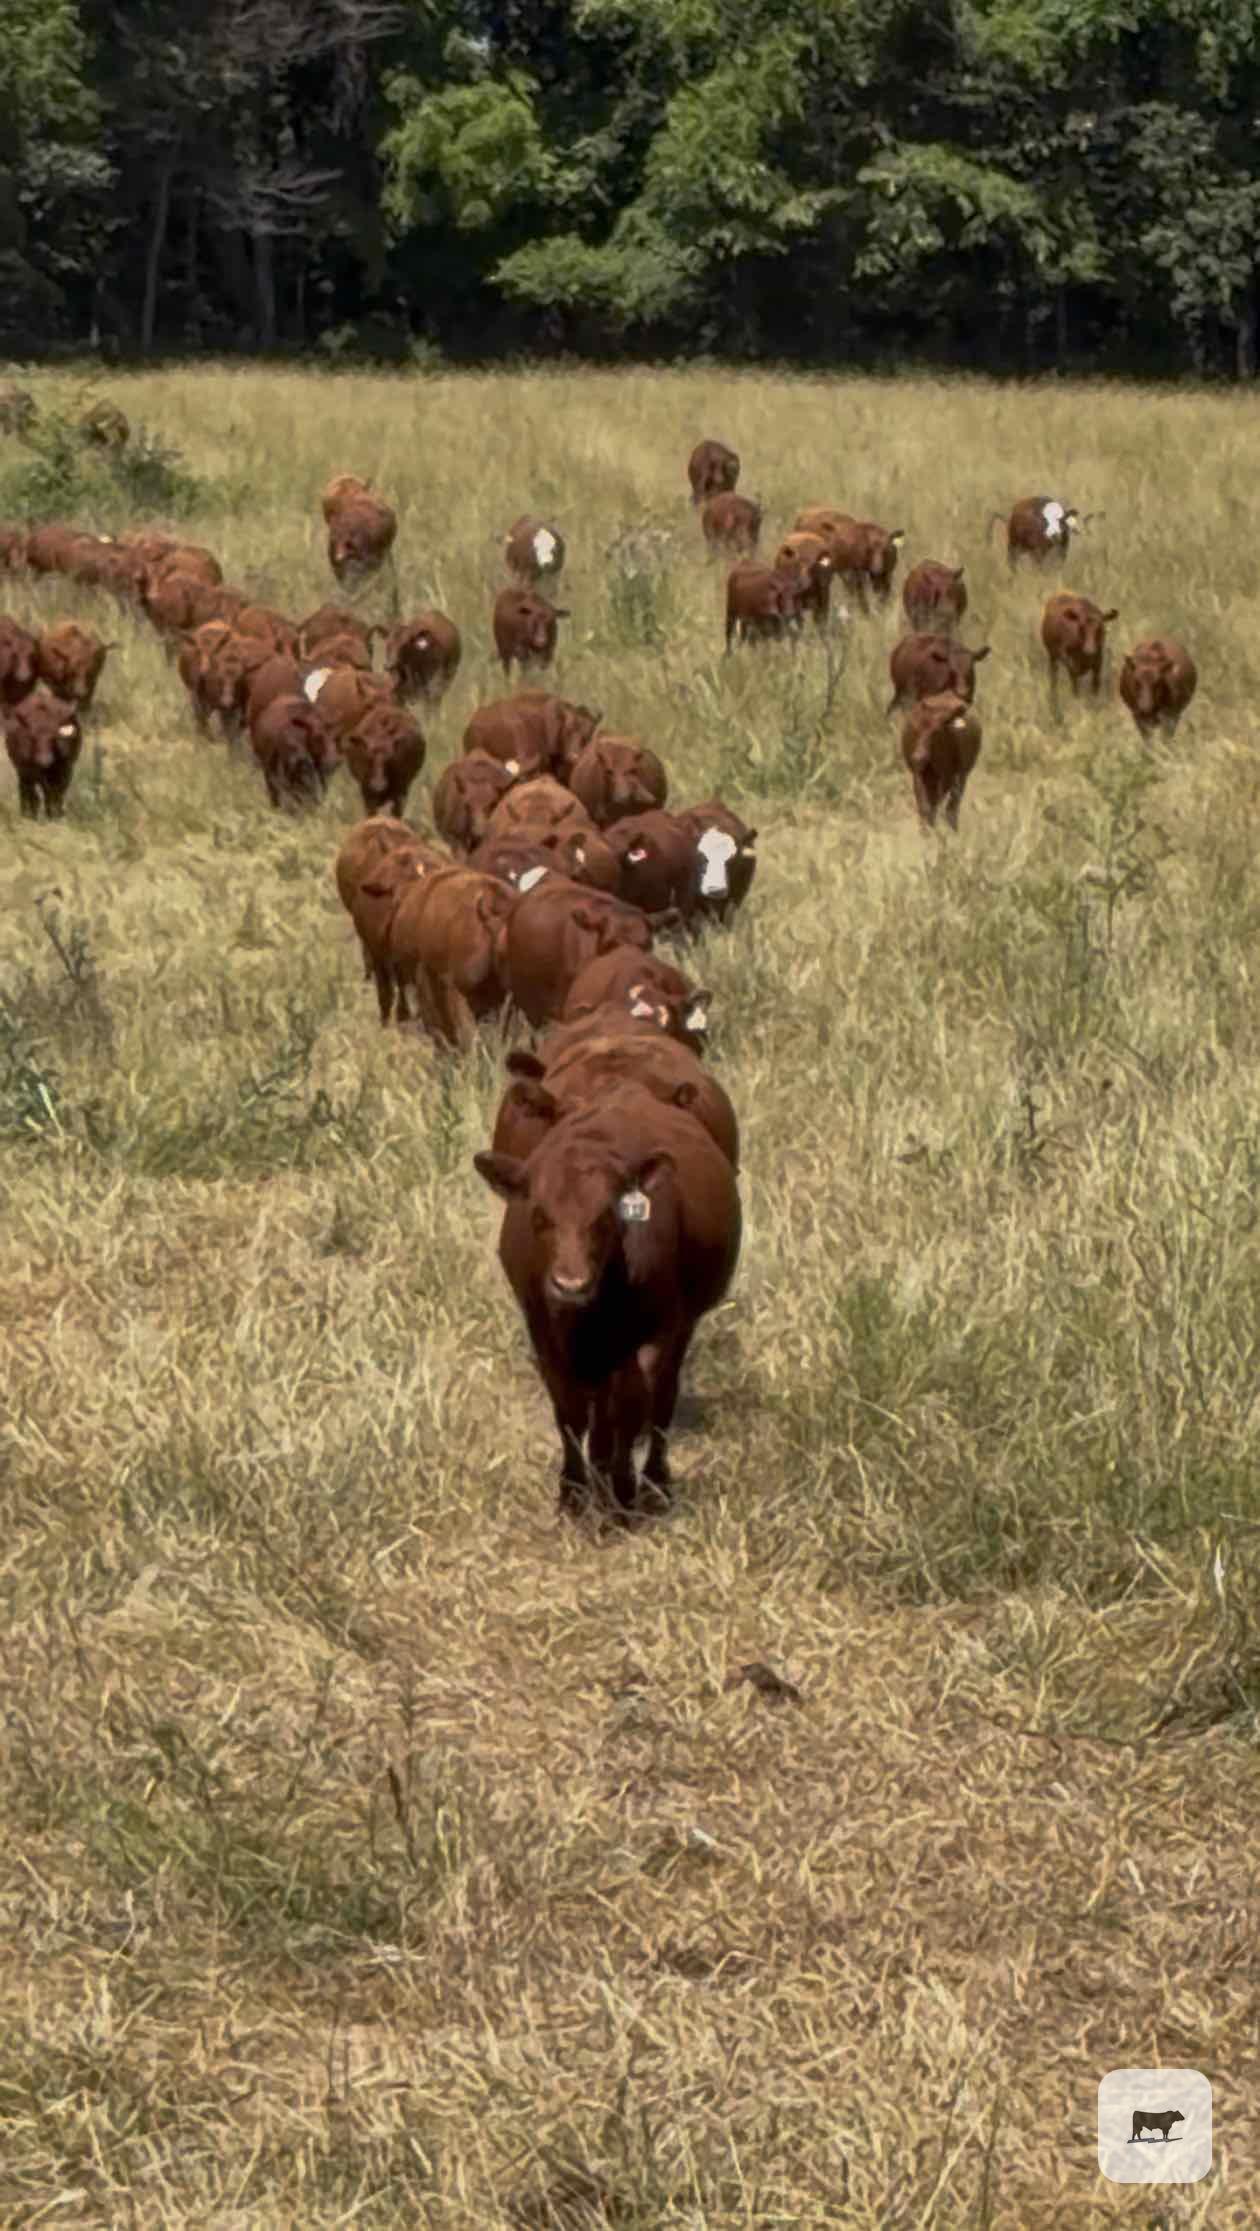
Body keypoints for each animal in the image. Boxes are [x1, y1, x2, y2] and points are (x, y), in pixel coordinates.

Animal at [4, 690, 82, 818]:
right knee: (25, 790)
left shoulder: (66, 771)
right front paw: (32, 814)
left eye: (53, 737)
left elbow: (55, 794)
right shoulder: (27, 771)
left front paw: (55, 814)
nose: (44, 760)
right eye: (33, 737)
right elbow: (34, 795)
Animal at [473, 1083, 742, 1515]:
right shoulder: (545, 1332)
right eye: (539, 1216)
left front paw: (622, 1492)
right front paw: (573, 1491)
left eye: (605, 1218)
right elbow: (569, 1411)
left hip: (677, 1330)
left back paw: (653, 1483)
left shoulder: (656, 1333)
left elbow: (631, 1410)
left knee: (658, 1403)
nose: (570, 1284)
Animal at [901, 691, 982, 832]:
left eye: (936, 731)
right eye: (917, 728)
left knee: (952, 807)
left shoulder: (950, 776)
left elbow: (939, 806)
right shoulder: (919, 775)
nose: (918, 757)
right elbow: (924, 807)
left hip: (960, 776)